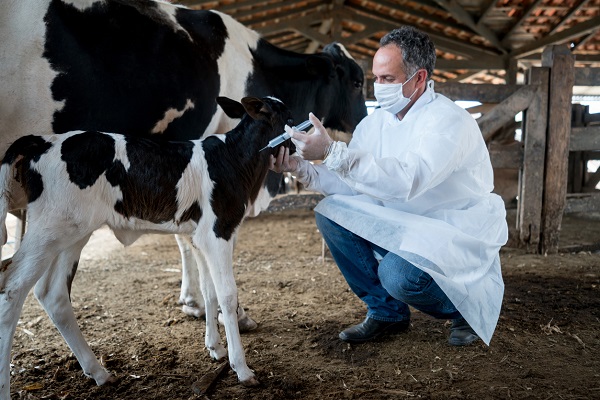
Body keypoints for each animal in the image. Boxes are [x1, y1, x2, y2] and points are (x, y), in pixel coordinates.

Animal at [0, 0, 368, 328]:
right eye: (357, 81)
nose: (365, 123)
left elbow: (186, 237)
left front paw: (195, 302)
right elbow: (202, 242)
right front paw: (221, 310)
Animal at [0, 97, 290, 394]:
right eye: (288, 115)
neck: (233, 158)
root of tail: (40, 141)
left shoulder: (198, 237)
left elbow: (209, 291)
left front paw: (215, 348)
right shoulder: (219, 231)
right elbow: (227, 295)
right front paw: (241, 368)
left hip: (72, 233)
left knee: (52, 292)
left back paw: (99, 372)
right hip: (51, 228)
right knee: (13, 285)